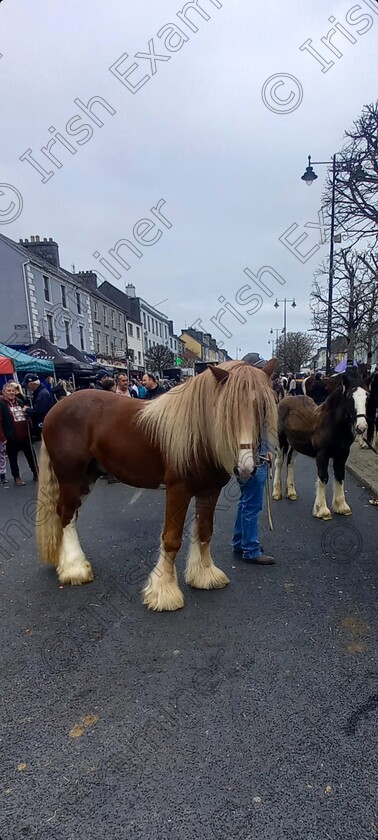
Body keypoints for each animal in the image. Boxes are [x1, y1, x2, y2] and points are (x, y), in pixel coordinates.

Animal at [36, 360, 278, 612]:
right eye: (226, 411)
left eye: (262, 407)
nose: (246, 468)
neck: (198, 435)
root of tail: (55, 409)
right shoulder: (178, 490)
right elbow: (171, 540)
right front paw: (164, 593)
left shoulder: (210, 491)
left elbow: (205, 532)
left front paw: (205, 575)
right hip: (71, 478)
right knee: (65, 515)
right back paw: (75, 568)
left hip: (86, 478)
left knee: (69, 515)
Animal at [274, 374, 368, 520]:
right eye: (349, 397)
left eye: (366, 396)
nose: (361, 427)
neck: (333, 424)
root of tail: (284, 399)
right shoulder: (322, 455)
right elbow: (323, 478)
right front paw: (322, 510)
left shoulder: (342, 455)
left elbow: (340, 476)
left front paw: (341, 506)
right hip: (281, 440)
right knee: (279, 462)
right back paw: (277, 493)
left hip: (296, 444)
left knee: (290, 461)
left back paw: (291, 492)